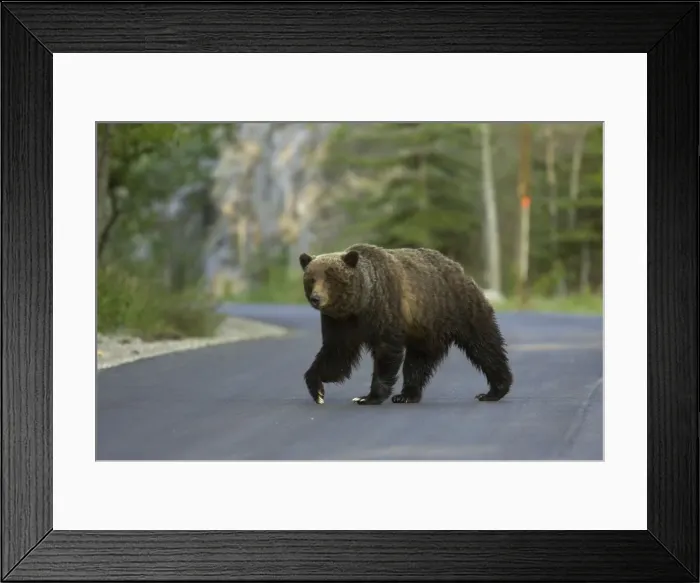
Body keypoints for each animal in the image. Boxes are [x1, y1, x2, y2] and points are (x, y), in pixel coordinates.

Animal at [299, 243, 514, 406]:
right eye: (311, 279)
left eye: (330, 278)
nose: (316, 298)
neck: (361, 303)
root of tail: (459, 268)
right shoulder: (340, 322)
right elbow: (336, 353)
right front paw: (317, 389)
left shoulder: (385, 309)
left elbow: (385, 352)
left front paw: (369, 397)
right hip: (427, 328)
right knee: (418, 361)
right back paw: (408, 394)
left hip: (460, 309)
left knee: (484, 347)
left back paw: (494, 390)